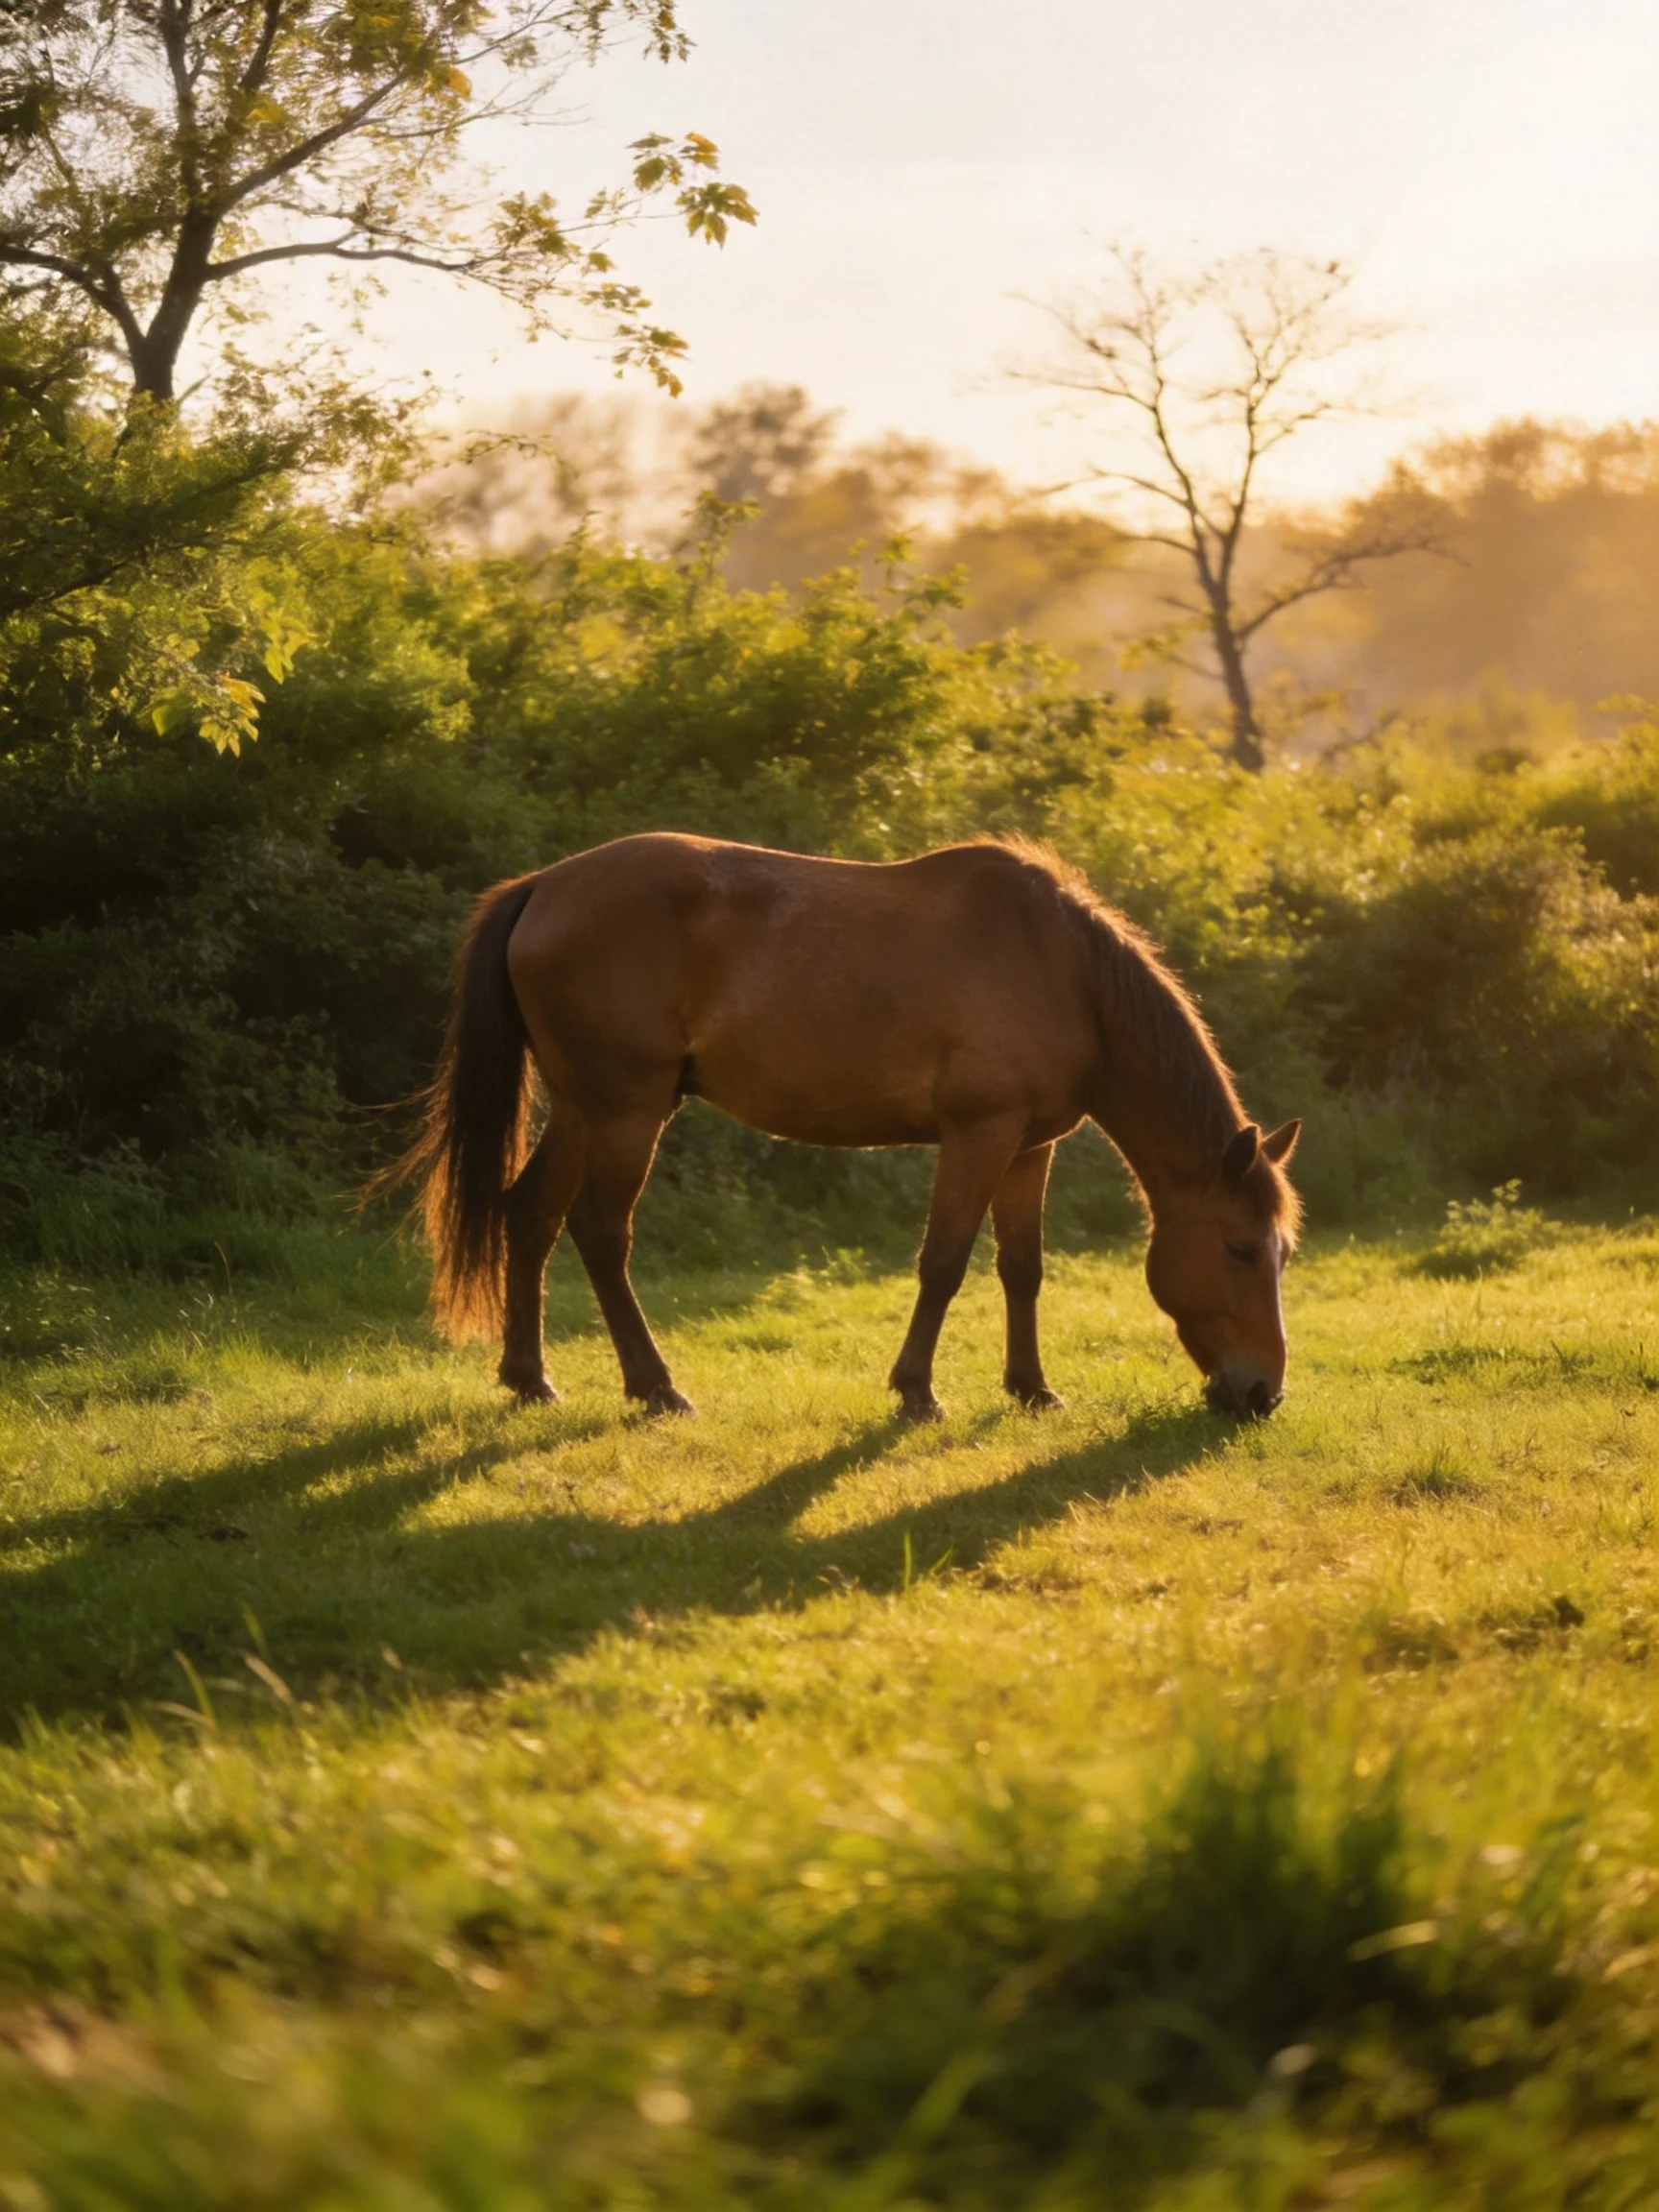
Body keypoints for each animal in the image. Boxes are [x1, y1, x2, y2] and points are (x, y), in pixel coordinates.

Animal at [399, 832, 1301, 1421]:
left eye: (1283, 1254)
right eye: (1240, 1249)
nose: (1263, 1393)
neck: (1065, 971)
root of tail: (542, 888)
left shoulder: (1028, 1147)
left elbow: (1022, 1269)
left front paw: (1032, 1388)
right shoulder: (979, 1134)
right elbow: (944, 1263)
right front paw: (917, 1391)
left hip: (583, 1109)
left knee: (530, 1216)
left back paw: (530, 1379)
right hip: (627, 1111)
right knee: (598, 1231)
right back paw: (655, 1386)